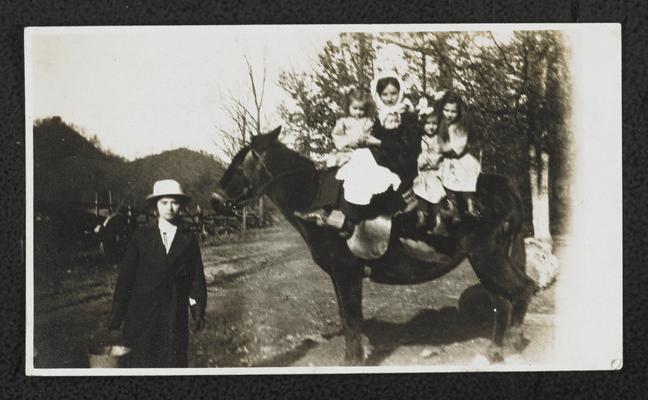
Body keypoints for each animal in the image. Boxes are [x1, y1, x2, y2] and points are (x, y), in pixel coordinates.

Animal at [214, 126, 536, 364]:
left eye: (239, 164)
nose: (215, 199)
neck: (315, 200)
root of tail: (507, 188)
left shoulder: (346, 272)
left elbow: (352, 320)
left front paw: (354, 359)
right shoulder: (339, 276)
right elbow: (347, 318)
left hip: (488, 258)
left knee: (522, 289)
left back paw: (512, 341)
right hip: (486, 262)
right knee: (503, 302)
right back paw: (496, 350)